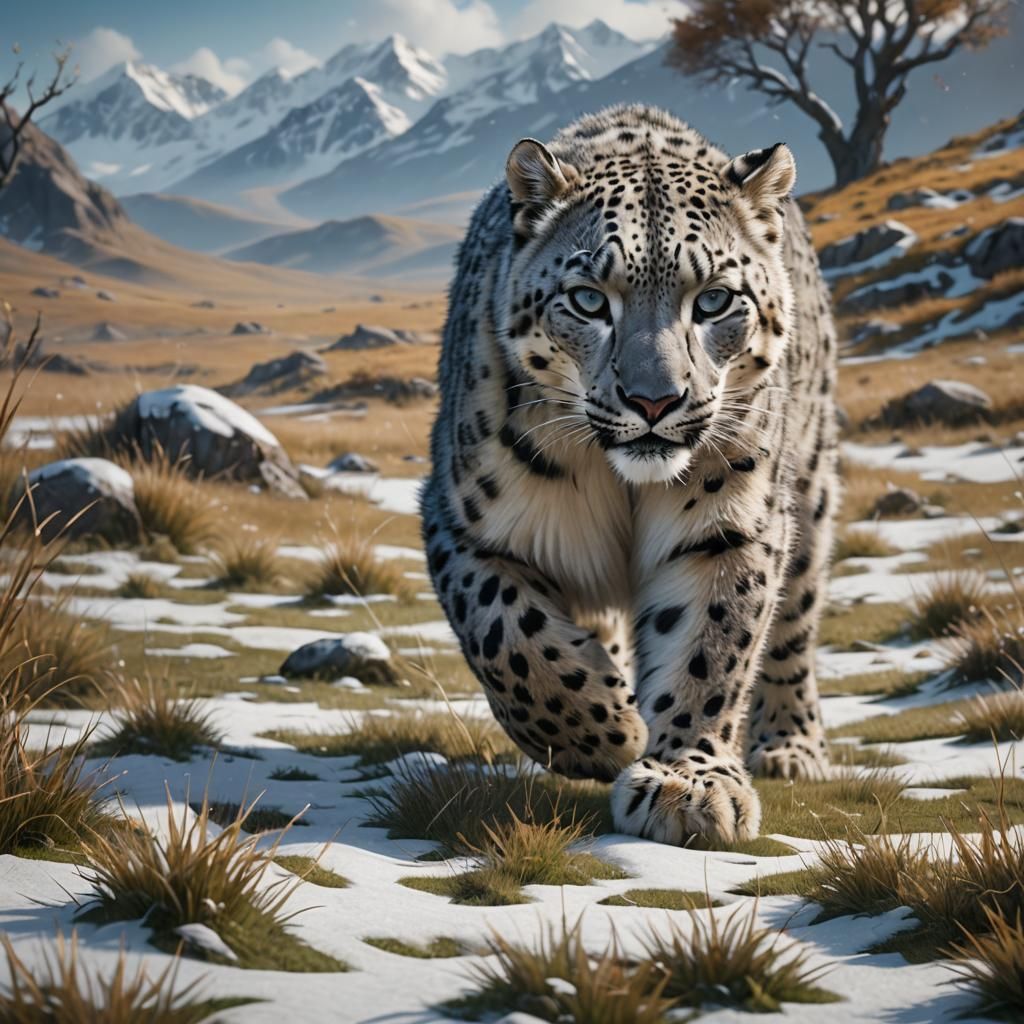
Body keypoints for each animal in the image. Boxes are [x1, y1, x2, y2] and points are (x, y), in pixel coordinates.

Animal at [420, 104, 838, 846]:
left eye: (715, 300)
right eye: (589, 300)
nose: (654, 401)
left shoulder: (728, 526)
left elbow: (712, 645)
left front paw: (687, 783)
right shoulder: (464, 524)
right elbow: (505, 633)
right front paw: (605, 731)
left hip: (810, 495)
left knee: (795, 622)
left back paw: (792, 745)